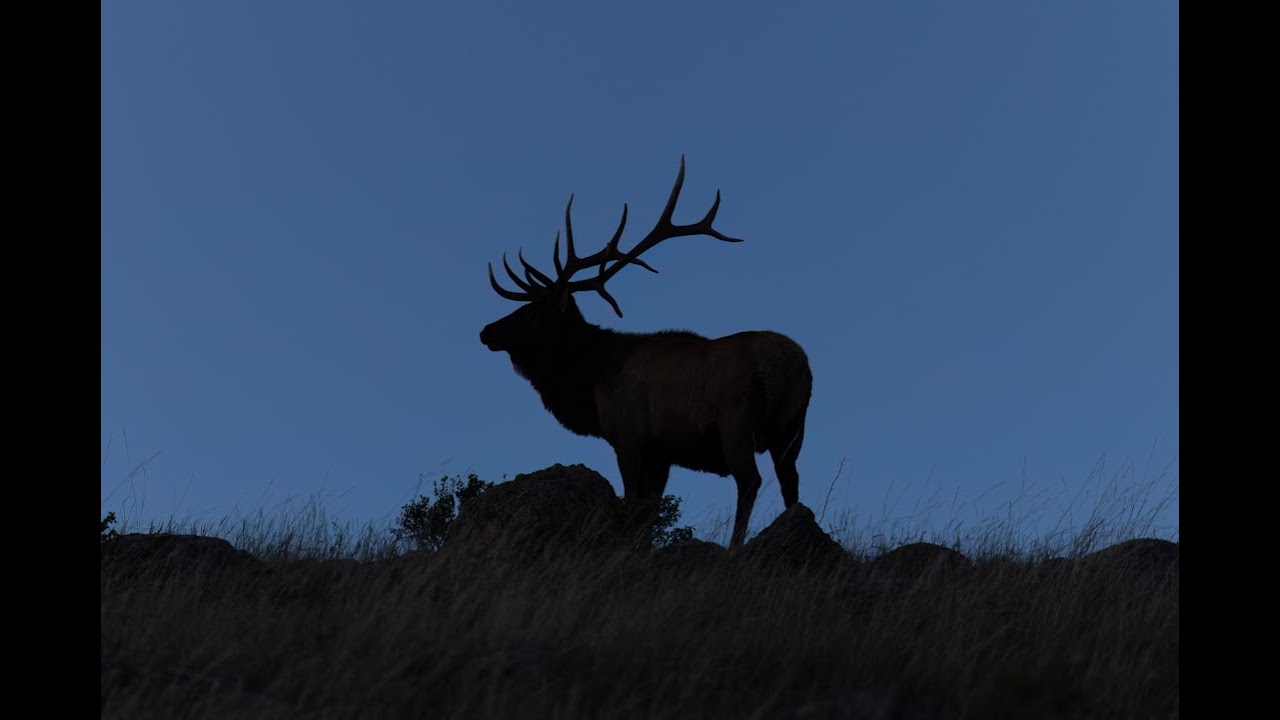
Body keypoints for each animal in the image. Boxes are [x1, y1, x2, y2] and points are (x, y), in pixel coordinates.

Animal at [479, 157, 812, 549]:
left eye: (534, 315)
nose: (486, 331)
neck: (591, 382)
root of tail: (790, 364)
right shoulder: (661, 453)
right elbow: (650, 512)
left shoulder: (628, 436)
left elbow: (632, 504)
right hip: (793, 425)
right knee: (791, 483)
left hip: (736, 419)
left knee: (750, 481)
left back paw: (735, 547)